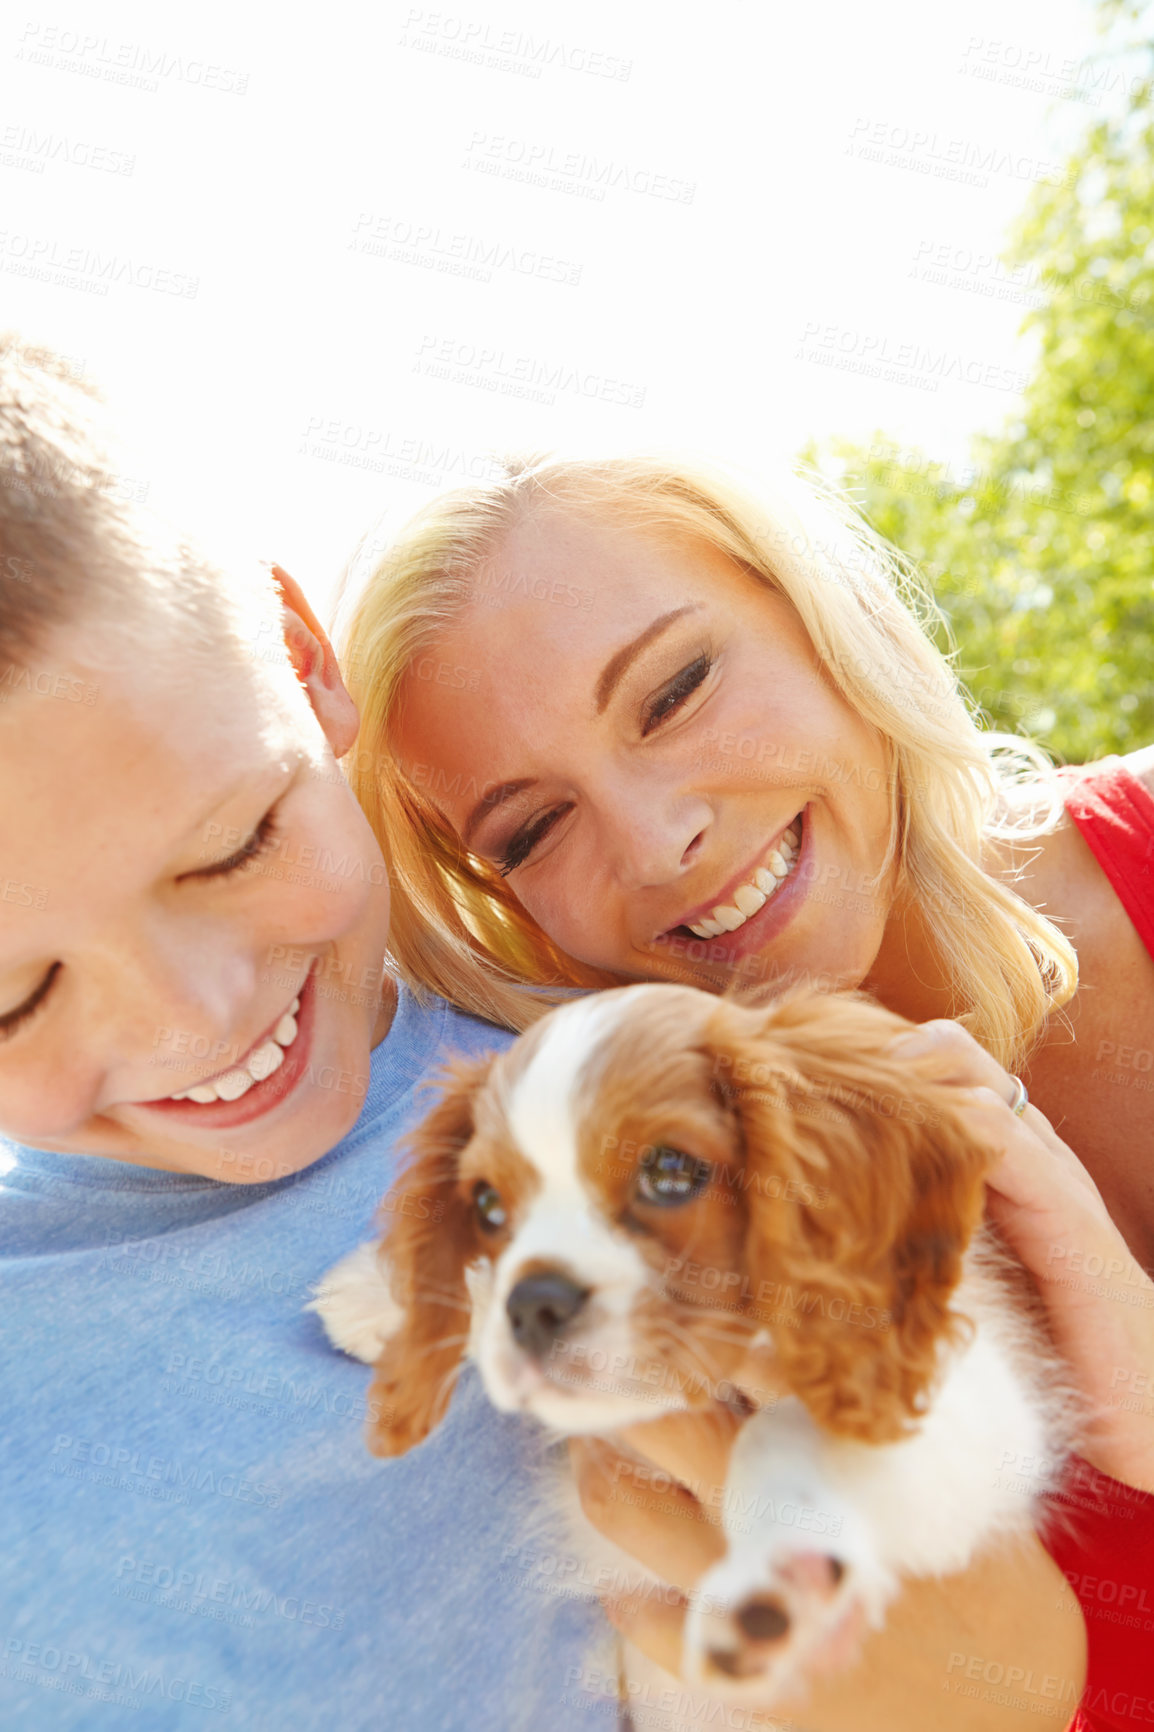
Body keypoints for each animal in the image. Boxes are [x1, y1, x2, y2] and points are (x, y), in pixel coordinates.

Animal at [310, 990, 1074, 1704]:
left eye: (671, 1174)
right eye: (487, 1207)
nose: (533, 1305)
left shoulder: (973, 1421)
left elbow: (777, 1428)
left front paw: (778, 1581)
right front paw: (381, 1298)